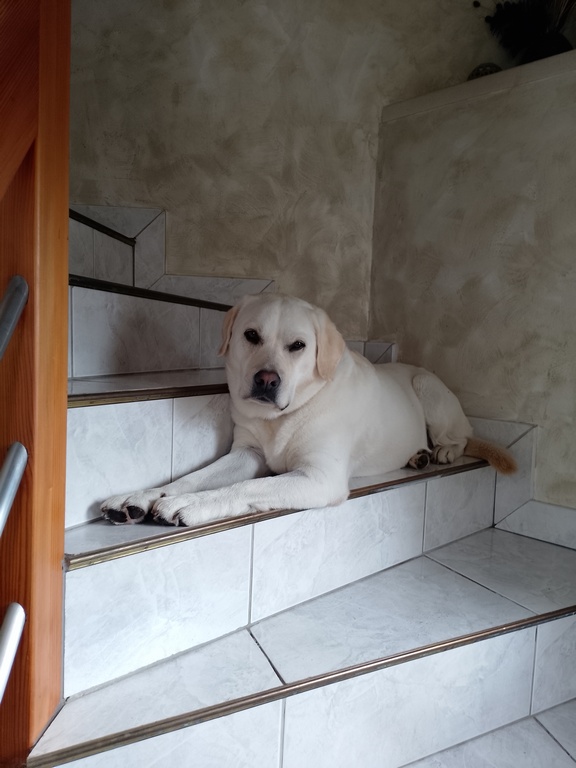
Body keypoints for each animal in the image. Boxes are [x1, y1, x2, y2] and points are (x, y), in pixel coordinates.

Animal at [101, 293, 516, 528]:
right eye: (251, 335)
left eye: (298, 345)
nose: (266, 380)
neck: (283, 417)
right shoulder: (247, 452)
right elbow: (192, 477)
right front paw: (142, 496)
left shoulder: (320, 477)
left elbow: (246, 486)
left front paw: (189, 504)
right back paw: (419, 456)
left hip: (427, 388)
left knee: (460, 437)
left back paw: (440, 451)